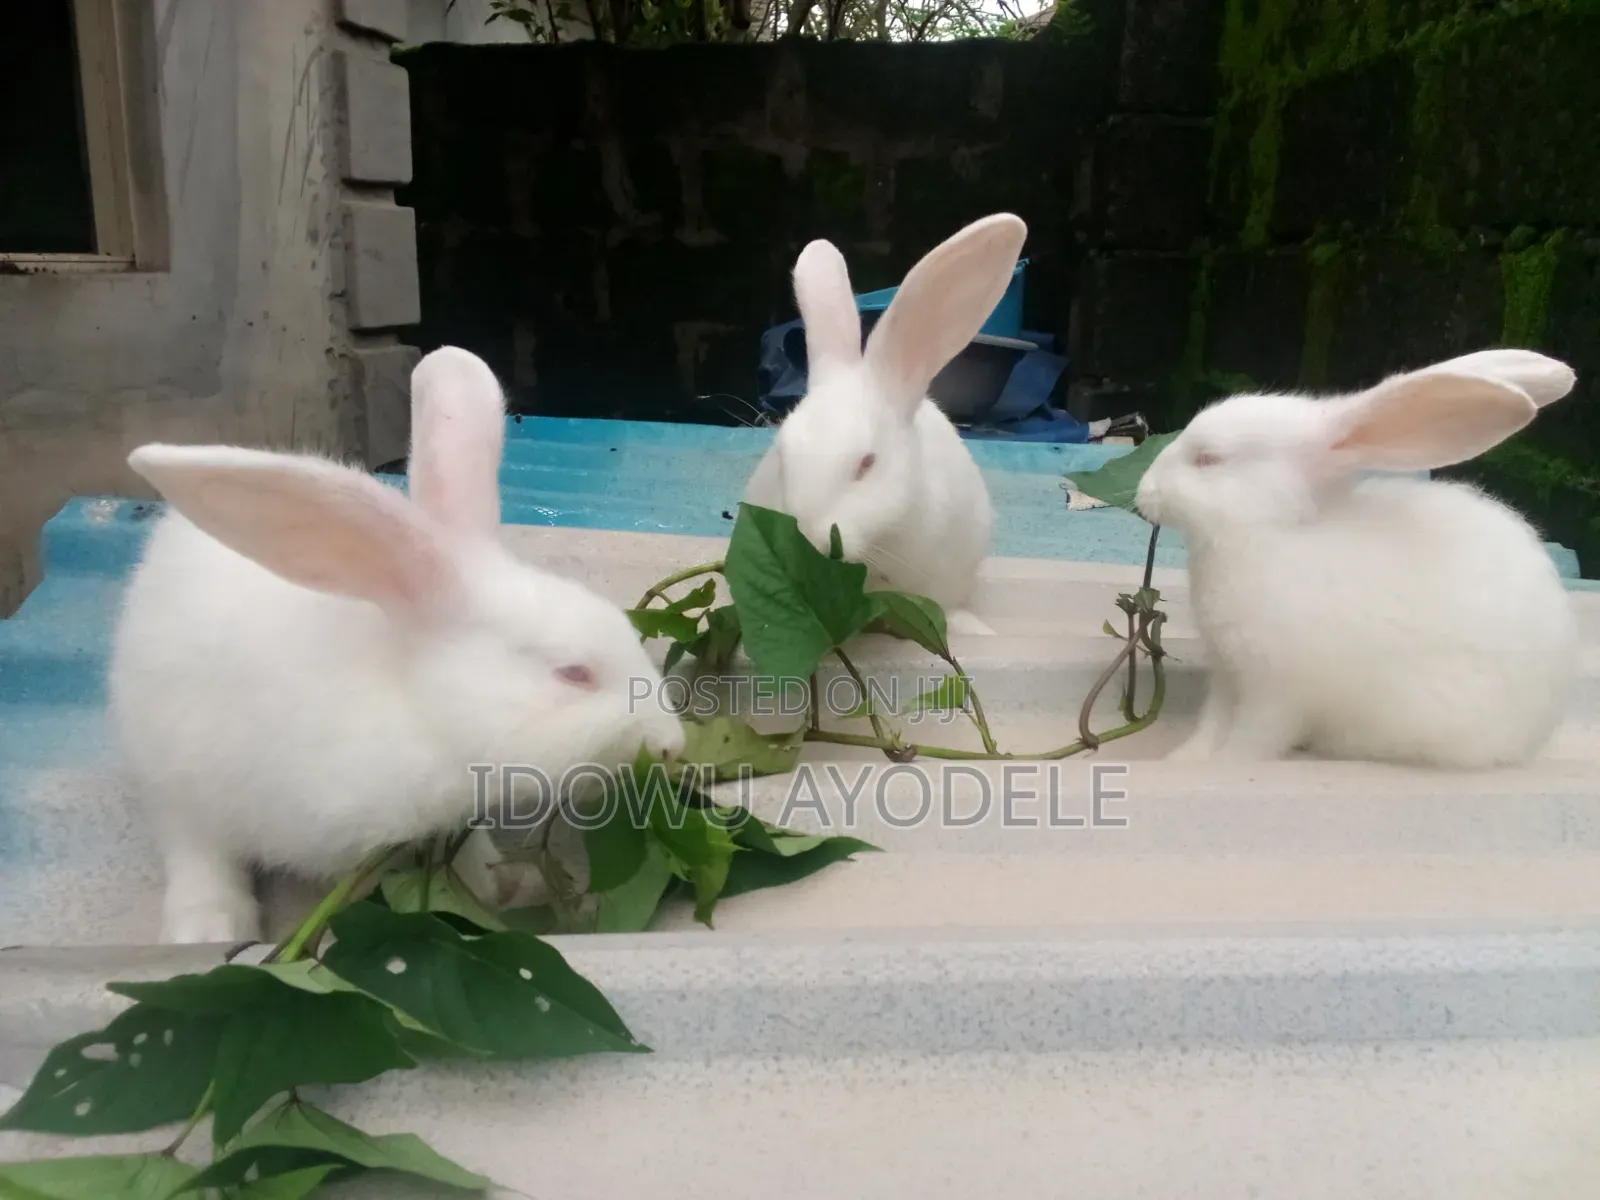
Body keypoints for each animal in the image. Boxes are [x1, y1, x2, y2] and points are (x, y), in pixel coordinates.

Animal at [108, 346, 685, 944]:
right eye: (573, 673)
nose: (672, 744)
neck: (419, 707)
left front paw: (491, 885)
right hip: (169, 760)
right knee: (194, 845)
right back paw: (208, 928)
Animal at [1134, 348, 1580, 769]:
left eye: (1208, 459)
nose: (1143, 492)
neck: (1268, 533)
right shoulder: (1229, 677)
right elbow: (1212, 725)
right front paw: (1184, 760)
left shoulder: (1277, 692)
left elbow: (1252, 739)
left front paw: (1226, 764)